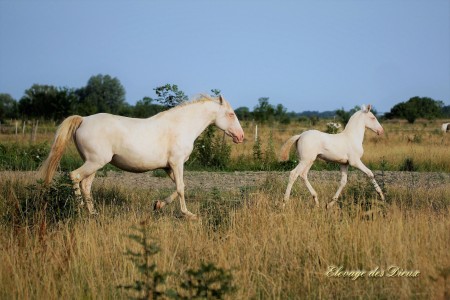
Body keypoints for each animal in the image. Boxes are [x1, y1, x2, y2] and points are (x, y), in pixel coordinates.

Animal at [39, 95, 244, 217]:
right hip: (94, 162)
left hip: (93, 163)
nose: (241, 136)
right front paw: (188, 214)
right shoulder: (177, 163)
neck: (181, 126)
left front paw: (158, 205)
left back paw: (93, 213)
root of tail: (83, 120)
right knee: (74, 176)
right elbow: (181, 188)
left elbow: (180, 187)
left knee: (86, 185)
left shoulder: (169, 167)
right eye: (231, 114)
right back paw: (80, 209)